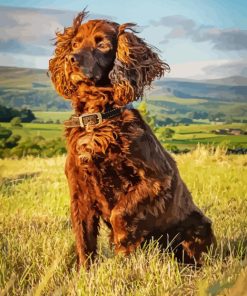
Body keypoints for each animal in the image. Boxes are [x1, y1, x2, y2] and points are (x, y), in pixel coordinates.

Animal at [48, 10, 216, 268]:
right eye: (75, 44)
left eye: (102, 44)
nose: (71, 59)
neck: (98, 121)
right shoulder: (79, 192)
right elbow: (84, 241)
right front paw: (85, 273)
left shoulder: (157, 180)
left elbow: (121, 213)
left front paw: (122, 252)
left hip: (199, 226)